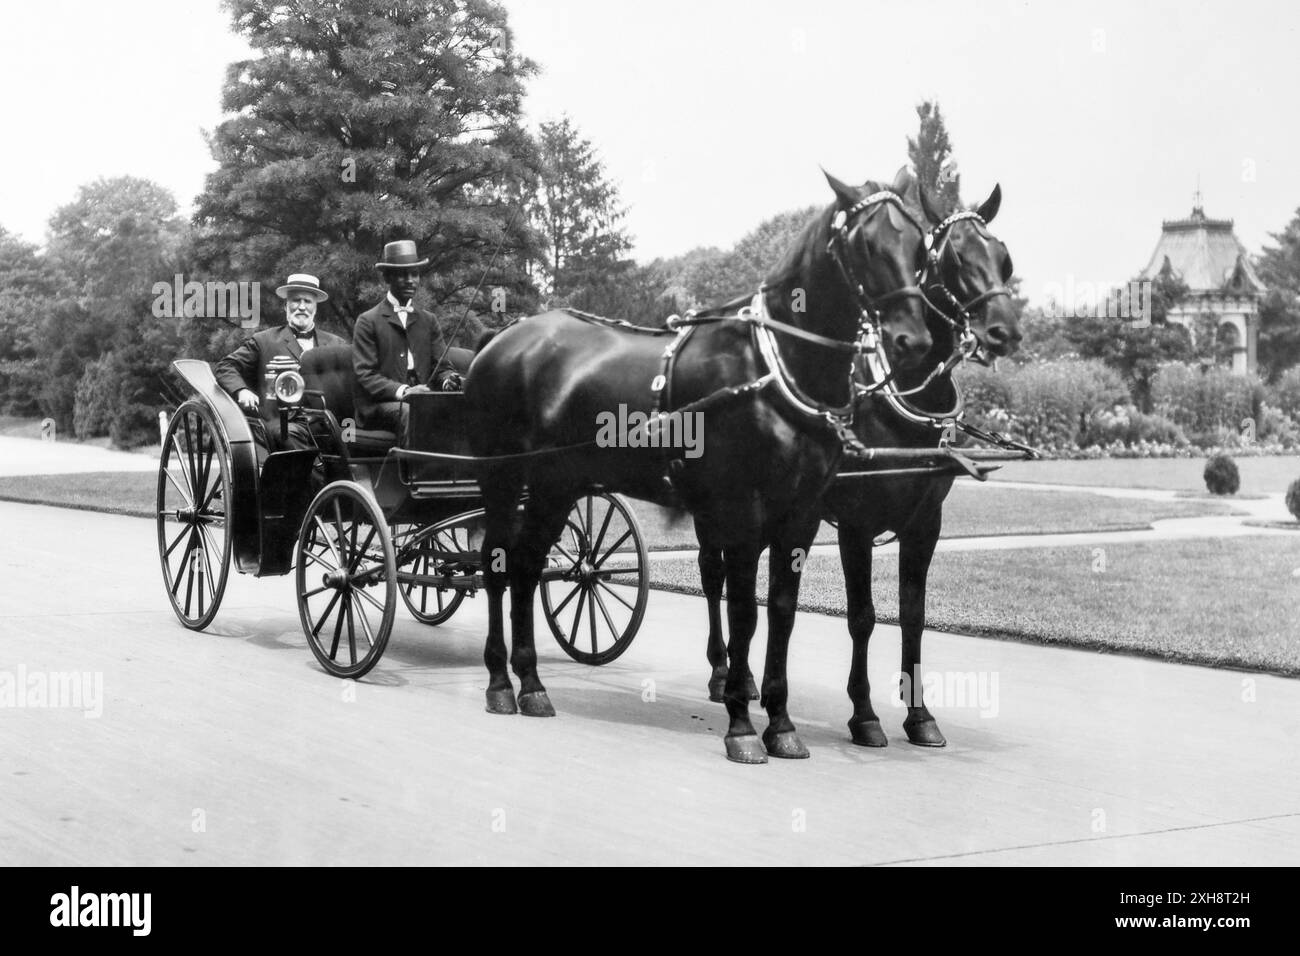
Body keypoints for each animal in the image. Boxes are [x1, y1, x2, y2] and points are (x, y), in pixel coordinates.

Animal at [467, 164, 935, 764]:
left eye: (918, 246)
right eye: (867, 245)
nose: (912, 340)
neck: (772, 370)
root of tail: (503, 337)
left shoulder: (800, 517)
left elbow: (781, 611)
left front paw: (780, 722)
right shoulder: (741, 513)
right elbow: (744, 614)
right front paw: (740, 721)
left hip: (557, 485)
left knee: (526, 566)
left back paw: (530, 684)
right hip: (502, 478)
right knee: (497, 564)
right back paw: (501, 683)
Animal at [696, 184, 1019, 749]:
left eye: (1005, 258)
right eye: (953, 258)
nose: (1004, 331)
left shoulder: (925, 525)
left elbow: (912, 616)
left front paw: (919, 715)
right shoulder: (856, 524)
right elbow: (863, 616)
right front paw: (864, 713)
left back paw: (746, 677)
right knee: (714, 576)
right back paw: (721, 674)